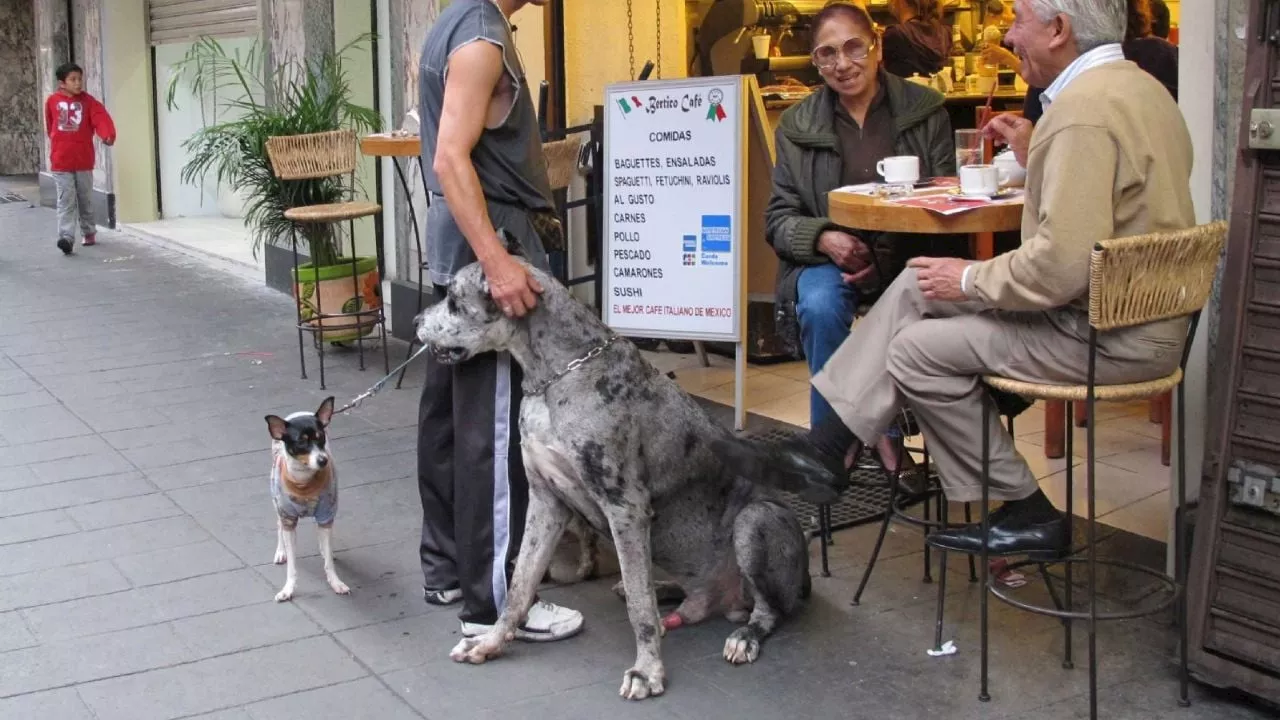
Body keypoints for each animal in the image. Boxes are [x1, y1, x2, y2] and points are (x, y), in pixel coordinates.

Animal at [263, 397, 350, 599]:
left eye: (321, 437)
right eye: (301, 443)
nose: (323, 460)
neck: (304, 481)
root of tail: (298, 412)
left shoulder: (326, 514)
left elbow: (329, 561)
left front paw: (336, 582)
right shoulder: (288, 518)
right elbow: (292, 565)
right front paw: (288, 589)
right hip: (277, 503)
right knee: (279, 525)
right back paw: (281, 551)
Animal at [414, 235, 844, 696]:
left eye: (453, 301)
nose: (418, 318)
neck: (556, 374)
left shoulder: (626, 508)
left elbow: (640, 609)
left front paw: (647, 670)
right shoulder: (547, 500)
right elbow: (520, 584)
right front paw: (491, 641)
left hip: (756, 520)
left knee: (767, 610)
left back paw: (744, 636)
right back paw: (667, 590)